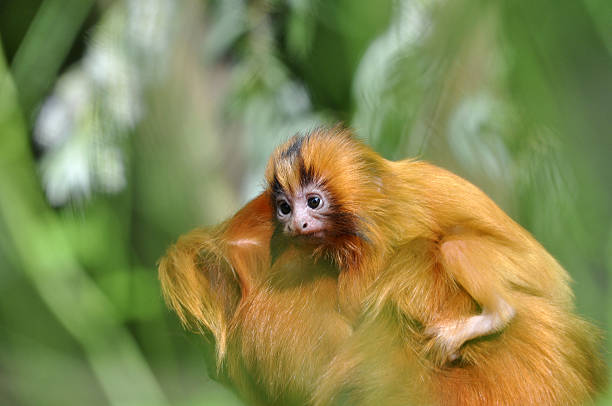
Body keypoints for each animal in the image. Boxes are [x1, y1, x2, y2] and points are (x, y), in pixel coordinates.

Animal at [264, 127, 608, 406]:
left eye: (314, 202)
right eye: (284, 208)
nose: (297, 224)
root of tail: (558, 286)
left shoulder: (391, 229)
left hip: (521, 268)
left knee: (455, 248)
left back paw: (495, 315)